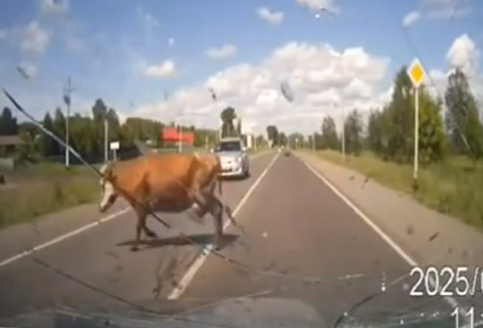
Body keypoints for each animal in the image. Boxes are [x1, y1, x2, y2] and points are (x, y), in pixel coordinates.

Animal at [99, 151, 240, 251]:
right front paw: (151, 233)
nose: (101, 207)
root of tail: (213, 157)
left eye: (106, 186)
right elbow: (142, 223)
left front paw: (135, 246)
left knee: (215, 209)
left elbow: (138, 225)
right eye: (102, 186)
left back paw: (214, 240)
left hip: (200, 192)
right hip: (206, 194)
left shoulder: (141, 204)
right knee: (218, 207)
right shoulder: (144, 207)